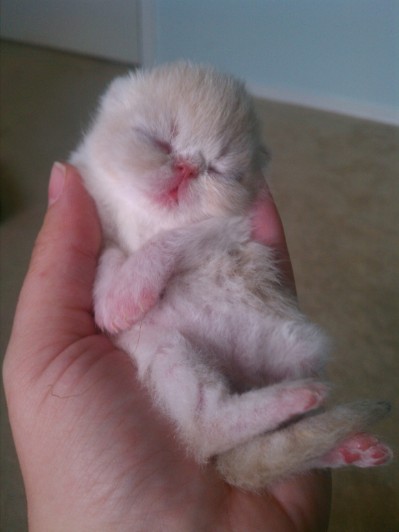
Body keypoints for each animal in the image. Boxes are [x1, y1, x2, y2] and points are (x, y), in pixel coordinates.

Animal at [70, 62, 392, 490]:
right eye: (160, 142)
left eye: (218, 170)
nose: (187, 167)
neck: (146, 217)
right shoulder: (99, 216)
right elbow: (108, 254)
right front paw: (116, 303)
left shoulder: (228, 227)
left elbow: (167, 243)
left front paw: (127, 294)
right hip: (167, 350)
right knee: (206, 427)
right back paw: (323, 426)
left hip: (286, 349)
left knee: (217, 433)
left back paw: (321, 421)